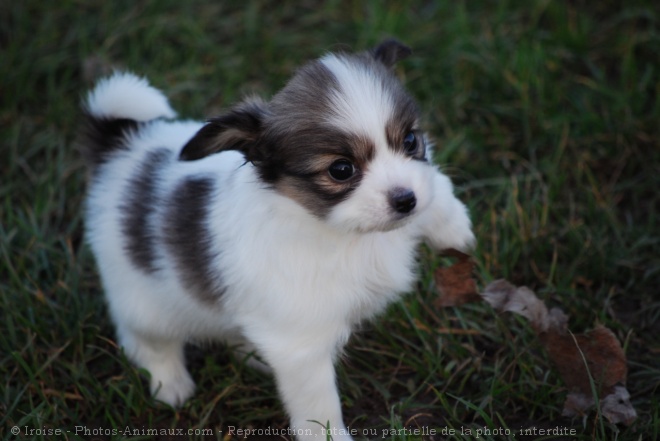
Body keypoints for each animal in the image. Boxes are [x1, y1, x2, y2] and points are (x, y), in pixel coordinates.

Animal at [81, 39, 474, 438]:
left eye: (410, 140)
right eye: (341, 169)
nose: (405, 201)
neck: (344, 232)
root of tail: (123, 148)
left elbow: (435, 187)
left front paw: (455, 230)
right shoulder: (301, 345)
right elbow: (319, 406)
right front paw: (330, 436)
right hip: (143, 300)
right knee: (147, 342)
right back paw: (170, 384)